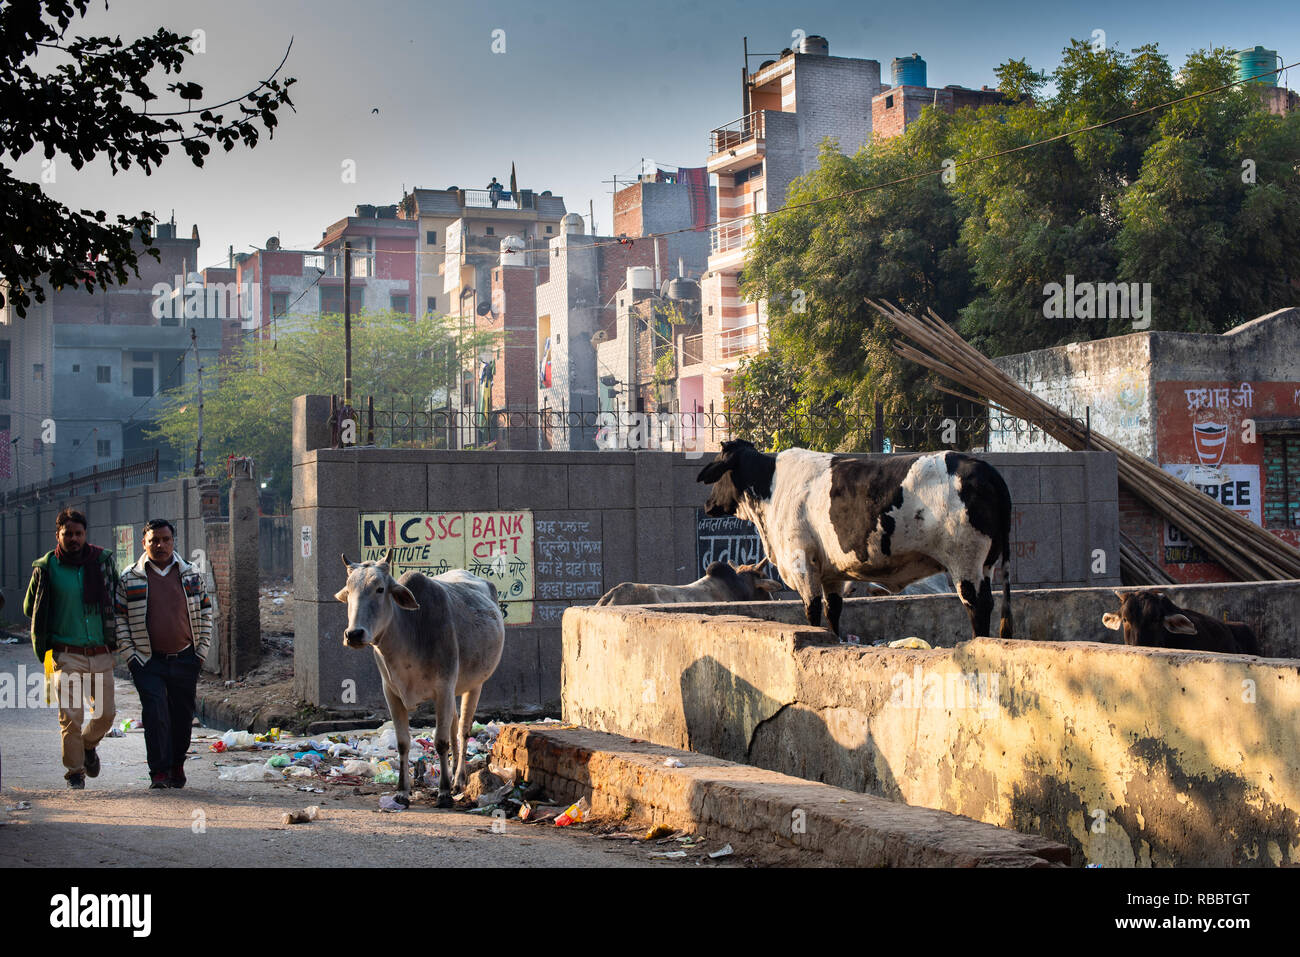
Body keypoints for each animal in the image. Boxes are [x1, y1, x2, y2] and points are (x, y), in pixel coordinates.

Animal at [334, 550, 505, 808]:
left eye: (380, 589)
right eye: (349, 589)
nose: (353, 634)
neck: (410, 632)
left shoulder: (443, 688)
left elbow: (441, 741)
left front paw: (444, 793)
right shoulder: (391, 693)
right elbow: (403, 742)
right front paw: (403, 791)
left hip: (475, 684)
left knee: (462, 731)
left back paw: (458, 780)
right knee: (454, 726)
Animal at [697, 440, 1013, 641]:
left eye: (719, 473)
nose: (708, 504)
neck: (772, 487)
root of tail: (984, 468)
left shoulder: (803, 563)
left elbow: (812, 612)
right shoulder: (831, 574)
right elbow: (833, 612)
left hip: (965, 561)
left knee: (977, 605)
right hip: (986, 564)